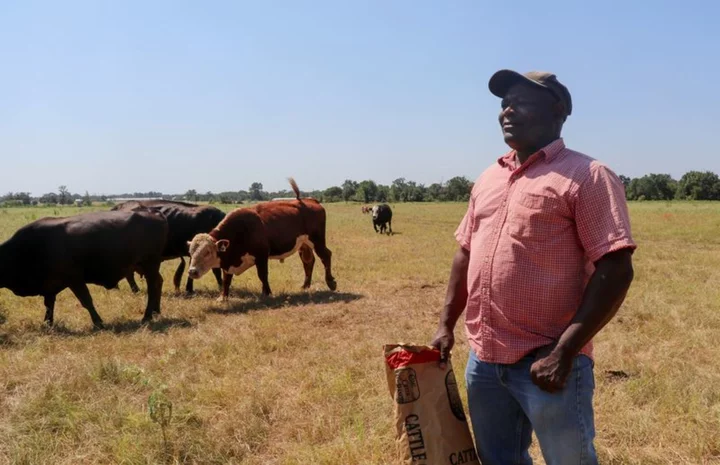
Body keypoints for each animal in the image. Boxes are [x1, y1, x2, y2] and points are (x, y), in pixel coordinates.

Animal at [0, 209, 168, 326]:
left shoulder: (74, 279)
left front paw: (98, 322)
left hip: (150, 265)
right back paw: (156, 311)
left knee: (153, 288)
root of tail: (152, 212)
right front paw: (48, 324)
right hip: (148, 267)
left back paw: (147, 316)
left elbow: (86, 301)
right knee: (158, 283)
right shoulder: (50, 285)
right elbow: (49, 305)